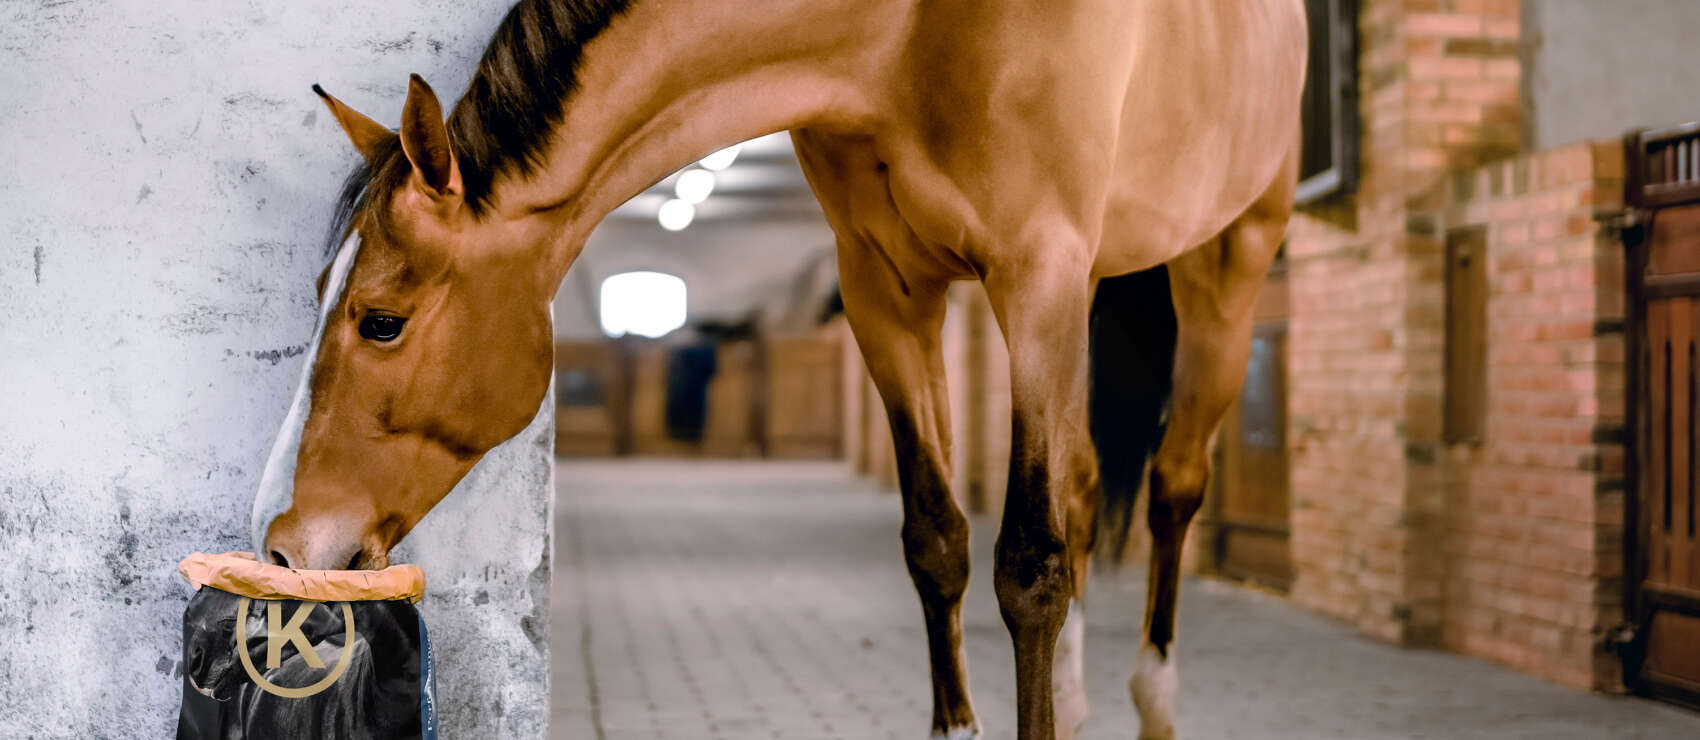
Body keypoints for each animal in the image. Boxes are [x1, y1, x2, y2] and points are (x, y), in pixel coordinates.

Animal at [250, 1, 1307, 737]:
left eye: (382, 322)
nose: (285, 545)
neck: (913, 34)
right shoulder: (888, 295)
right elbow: (939, 544)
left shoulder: (1037, 273)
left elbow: (1031, 566)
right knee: (1086, 485)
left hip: (1227, 261)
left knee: (1173, 486)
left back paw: (1155, 696)